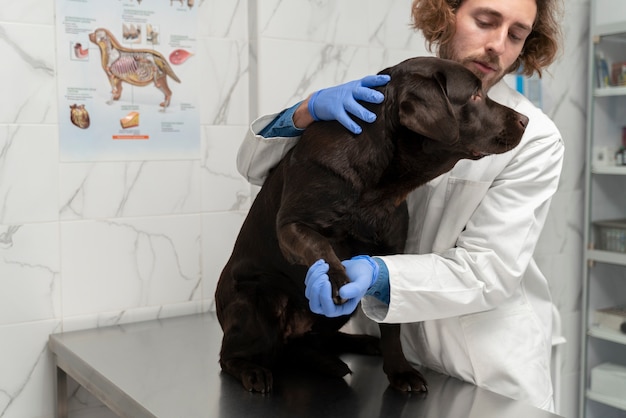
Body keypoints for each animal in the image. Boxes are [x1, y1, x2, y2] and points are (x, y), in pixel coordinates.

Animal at [214, 57, 528, 394]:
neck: (379, 185)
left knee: (312, 342)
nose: (525, 119)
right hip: (258, 299)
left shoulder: (389, 256)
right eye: (475, 95)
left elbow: (392, 322)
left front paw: (400, 370)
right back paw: (253, 371)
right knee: (229, 357)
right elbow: (320, 245)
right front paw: (336, 279)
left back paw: (357, 346)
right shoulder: (291, 225)